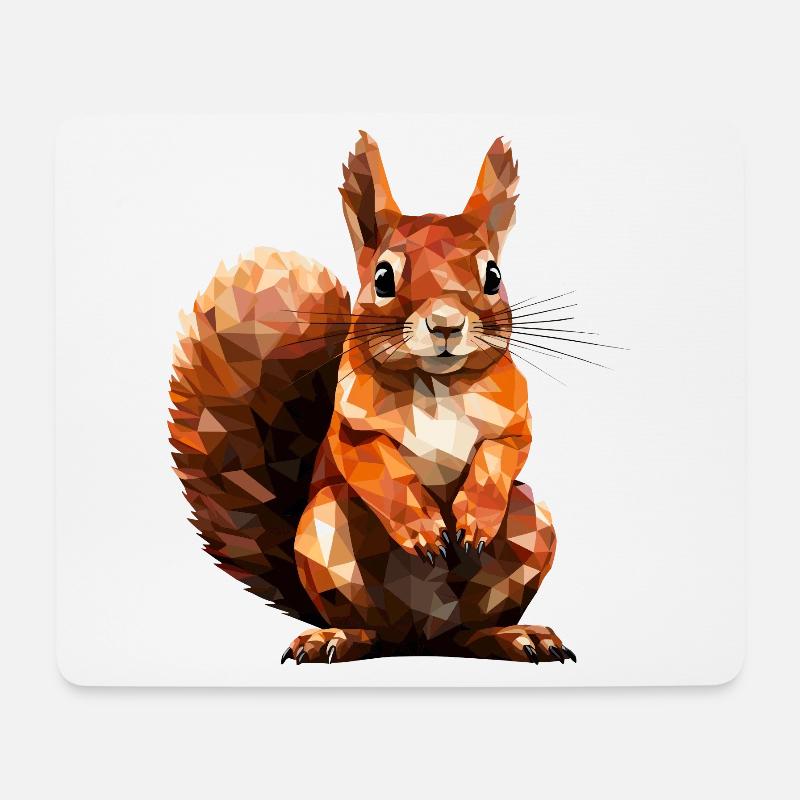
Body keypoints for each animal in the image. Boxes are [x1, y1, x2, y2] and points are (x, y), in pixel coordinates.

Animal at [169, 132, 576, 665]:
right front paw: (423, 527)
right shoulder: (351, 428)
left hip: (533, 525)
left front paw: (473, 519)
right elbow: (378, 467)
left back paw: (515, 635)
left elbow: (502, 454)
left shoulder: (513, 419)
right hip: (324, 534)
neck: (436, 386)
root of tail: (422, 640)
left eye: (493, 275)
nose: (445, 324)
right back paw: (335, 637)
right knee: (372, 631)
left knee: (469, 632)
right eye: (382, 278)